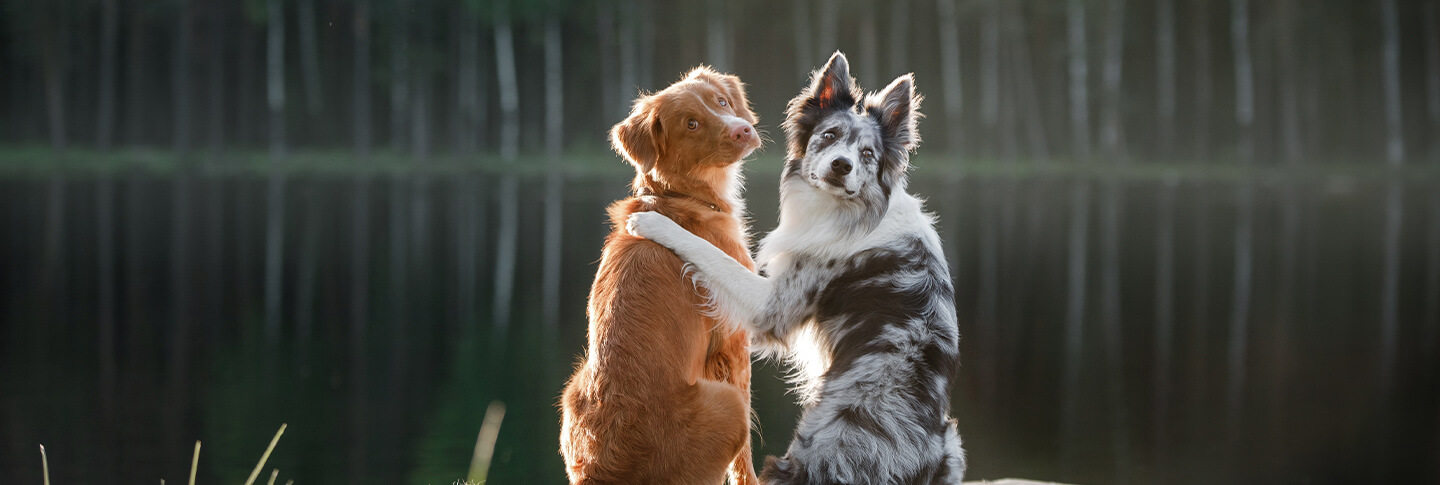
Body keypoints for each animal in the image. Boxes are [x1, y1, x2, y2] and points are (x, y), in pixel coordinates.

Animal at [558, 65, 766, 483]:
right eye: (691, 124)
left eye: (722, 102)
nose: (742, 130)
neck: (679, 196)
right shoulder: (734, 344)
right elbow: (744, 463)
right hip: (728, 404)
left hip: (572, 389)